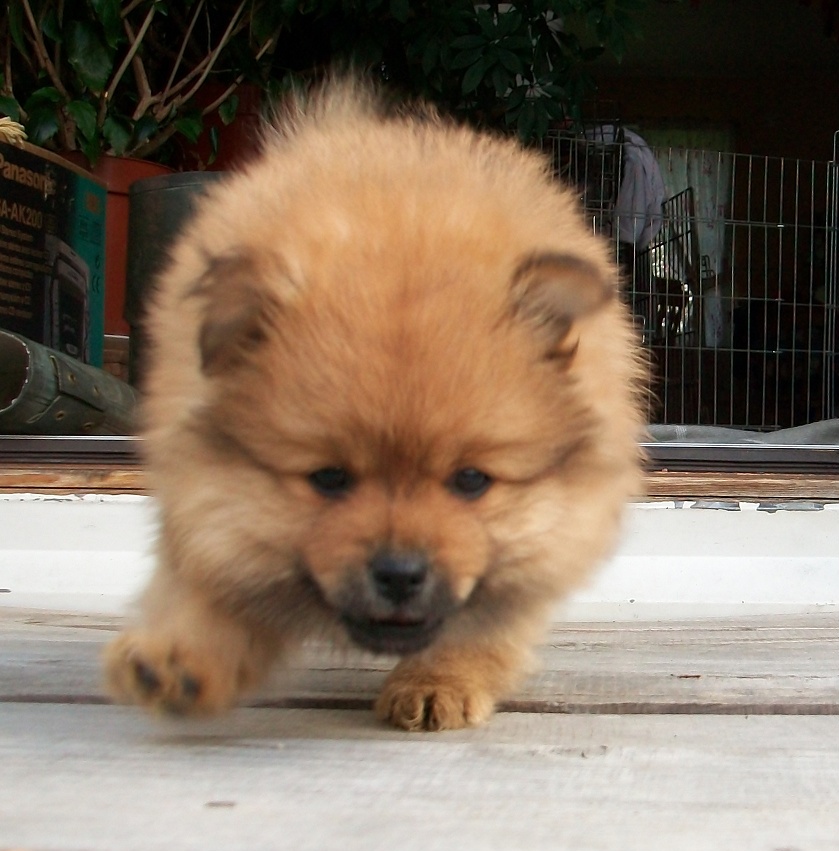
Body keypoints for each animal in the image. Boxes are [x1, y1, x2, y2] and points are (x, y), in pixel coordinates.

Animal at [101, 81, 648, 732]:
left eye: (471, 481)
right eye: (329, 478)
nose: (400, 573)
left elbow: (479, 622)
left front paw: (437, 682)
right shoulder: (202, 499)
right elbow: (208, 575)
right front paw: (183, 654)